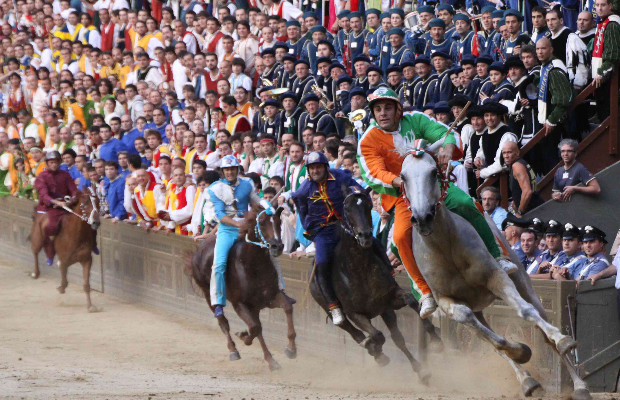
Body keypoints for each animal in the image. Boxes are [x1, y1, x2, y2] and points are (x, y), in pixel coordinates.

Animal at [191, 206, 298, 372]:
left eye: (279, 222)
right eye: (262, 222)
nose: (277, 246)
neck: (253, 265)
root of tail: (200, 248)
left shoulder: (269, 297)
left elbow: (286, 307)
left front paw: (291, 349)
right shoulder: (239, 304)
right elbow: (254, 328)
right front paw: (243, 336)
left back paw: (271, 360)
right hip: (209, 295)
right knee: (223, 322)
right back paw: (233, 350)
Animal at [308, 186, 440, 382]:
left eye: (369, 205)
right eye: (347, 208)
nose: (365, 236)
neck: (359, 269)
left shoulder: (389, 299)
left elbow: (409, 301)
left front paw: (435, 337)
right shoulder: (355, 313)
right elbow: (377, 335)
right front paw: (373, 347)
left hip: (384, 310)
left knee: (397, 338)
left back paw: (420, 370)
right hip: (329, 309)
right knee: (351, 330)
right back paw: (373, 348)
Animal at [398, 145, 592, 400]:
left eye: (432, 172)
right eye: (403, 177)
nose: (422, 218)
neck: (445, 247)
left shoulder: (496, 278)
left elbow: (525, 311)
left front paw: (560, 340)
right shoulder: (447, 302)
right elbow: (490, 339)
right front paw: (521, 351)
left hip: (523, 282)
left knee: (541, 325)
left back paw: (578, 384)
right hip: (476, 307)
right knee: (486, 334)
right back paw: (528, 380)